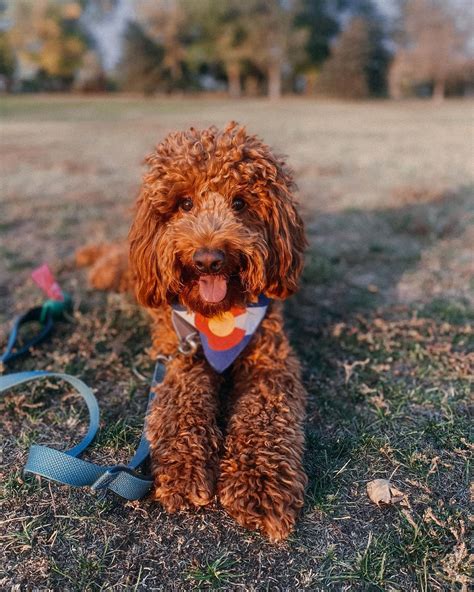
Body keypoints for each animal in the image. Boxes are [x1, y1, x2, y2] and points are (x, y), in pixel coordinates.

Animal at [77, 121, 308, 540]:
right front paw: (183, 471)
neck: (218, 316)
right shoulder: (178, 357)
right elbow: (179, 407)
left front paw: (260, 485)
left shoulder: (271, 359)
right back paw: (95, 262)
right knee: (115, 258)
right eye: (184, 204)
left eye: (240, 203)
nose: (208, 259)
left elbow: (268, 414)